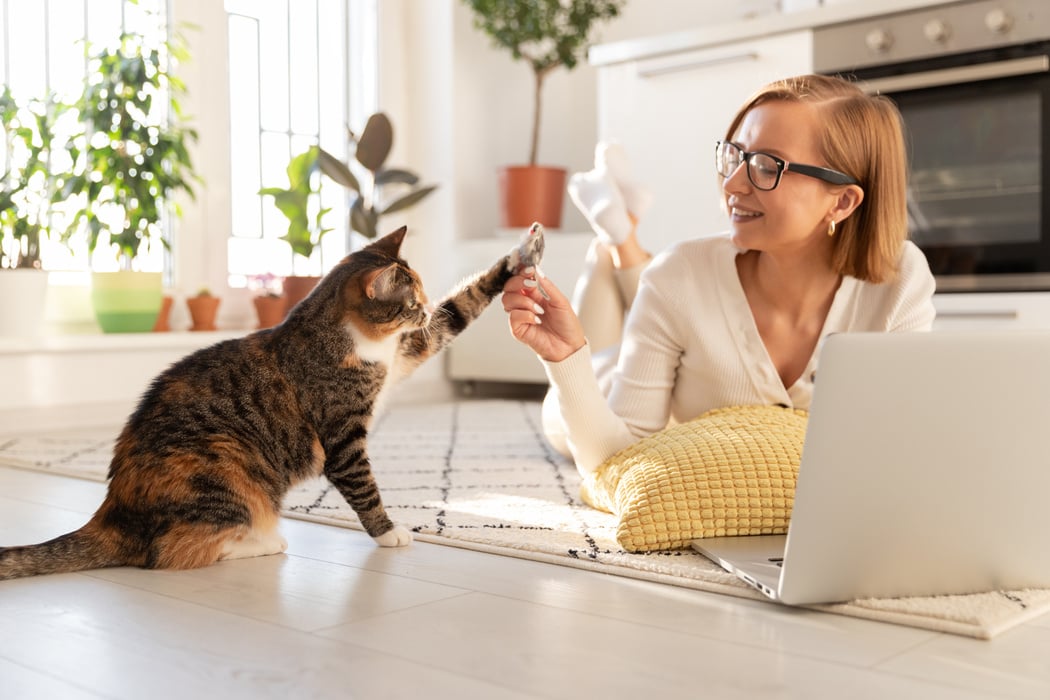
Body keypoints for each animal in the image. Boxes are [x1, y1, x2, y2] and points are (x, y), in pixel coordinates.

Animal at [4, 224, 550, 579]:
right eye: (410, 301)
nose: (423, 306)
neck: (357, 341)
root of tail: (112, 511)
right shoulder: (342, 436)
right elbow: (365, 489)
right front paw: (389, 532)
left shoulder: (409, 349)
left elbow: (462, 308)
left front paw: (524, 252)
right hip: (224, 463)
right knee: (166, 555)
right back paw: (262, 542)